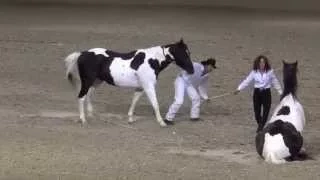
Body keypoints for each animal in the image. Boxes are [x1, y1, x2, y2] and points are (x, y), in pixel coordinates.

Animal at [64, 39, 194, 126]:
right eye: (183, 54)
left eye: (189, 53)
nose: (192, 70)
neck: (152, 60)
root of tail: (81, 53)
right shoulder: (149, 86)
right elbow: (155, 104)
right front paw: (162, 122)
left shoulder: (140, 87)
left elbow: (134, 101)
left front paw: (130, 119)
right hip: (87, 81)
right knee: (81, 97)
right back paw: (83, 119)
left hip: (96, 82)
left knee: (88, 95)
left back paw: (90, 115)